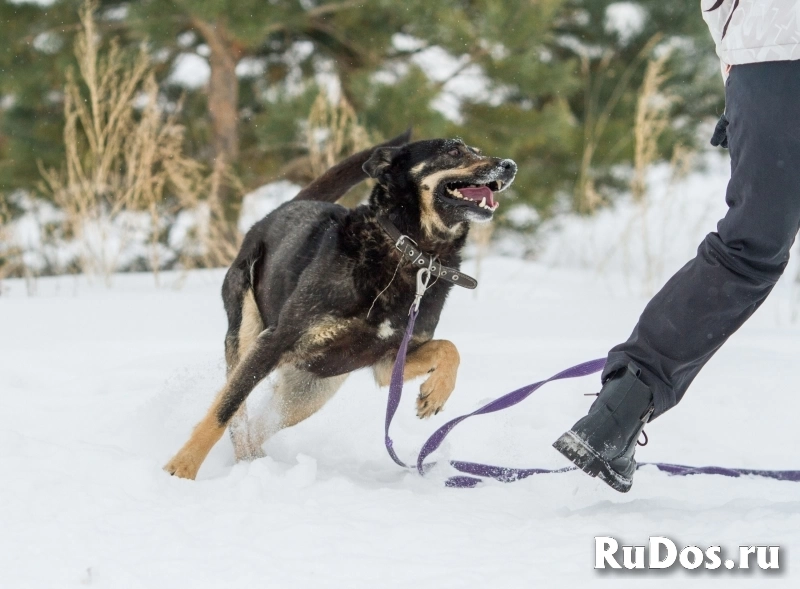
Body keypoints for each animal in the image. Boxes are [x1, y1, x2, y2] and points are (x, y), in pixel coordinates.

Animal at [167, 132, 520, 478]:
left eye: (477, 150)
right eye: (454, 151)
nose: (509, 165)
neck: (410, 250)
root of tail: (287, 205)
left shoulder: (388, 362)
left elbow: (449, 348)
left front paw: (436, 393)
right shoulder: (275, 341)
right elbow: (222, 412)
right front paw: (180, 470)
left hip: (307, 395)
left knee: (257, 427)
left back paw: (254, 464)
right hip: (247, 339)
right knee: (236, 413)